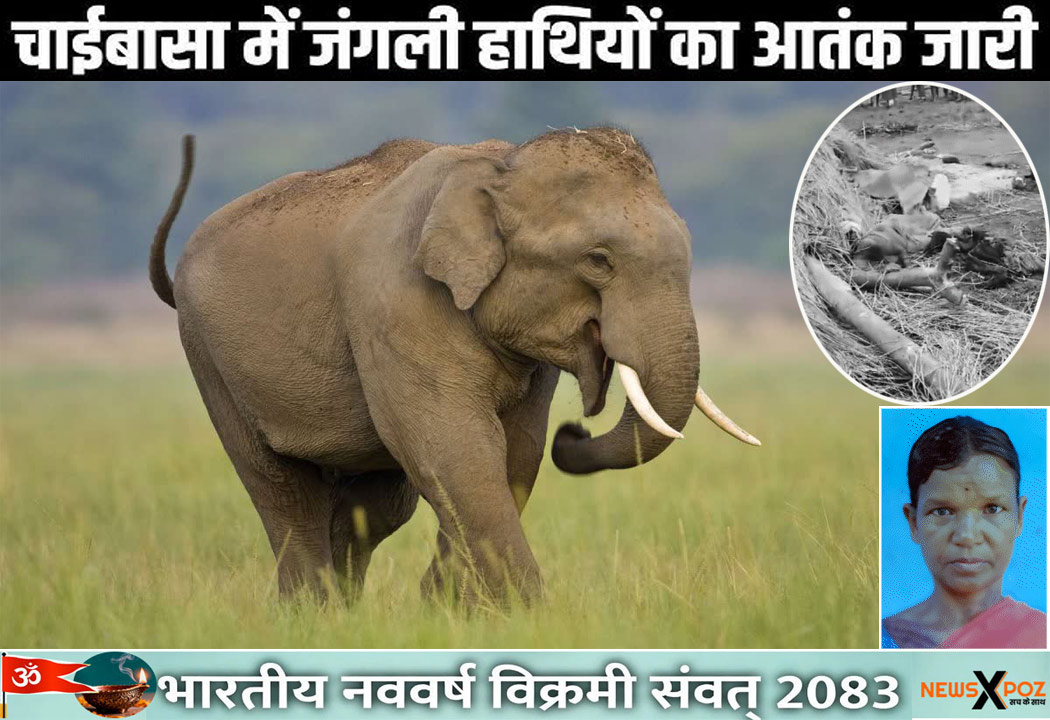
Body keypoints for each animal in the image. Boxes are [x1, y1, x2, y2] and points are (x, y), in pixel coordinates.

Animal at [150, 127, 759, 604]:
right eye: (598, 260)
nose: (574, 431)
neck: (500, 164)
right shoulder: (397, 303)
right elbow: (459, 449)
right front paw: (525, 615)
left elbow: (514, 454)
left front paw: (446, 608)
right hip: (209, 359)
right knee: (282, 489)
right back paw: (312, 615)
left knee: (375, 505)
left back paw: (344, 615)